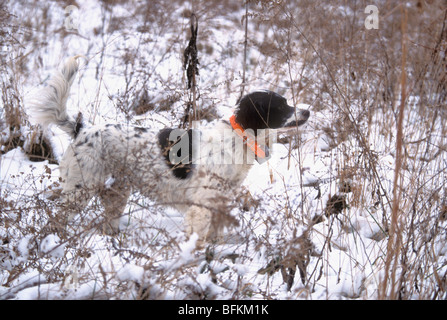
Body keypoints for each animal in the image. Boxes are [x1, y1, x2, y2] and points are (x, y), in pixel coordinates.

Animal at [28, 57, 312, 242]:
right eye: (281, 106)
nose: (307, 111)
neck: (236, 139)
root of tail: (81, 130)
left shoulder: (218, 202)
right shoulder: (202, 205)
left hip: (117, 193)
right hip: (80, 190)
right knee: (57, 220)